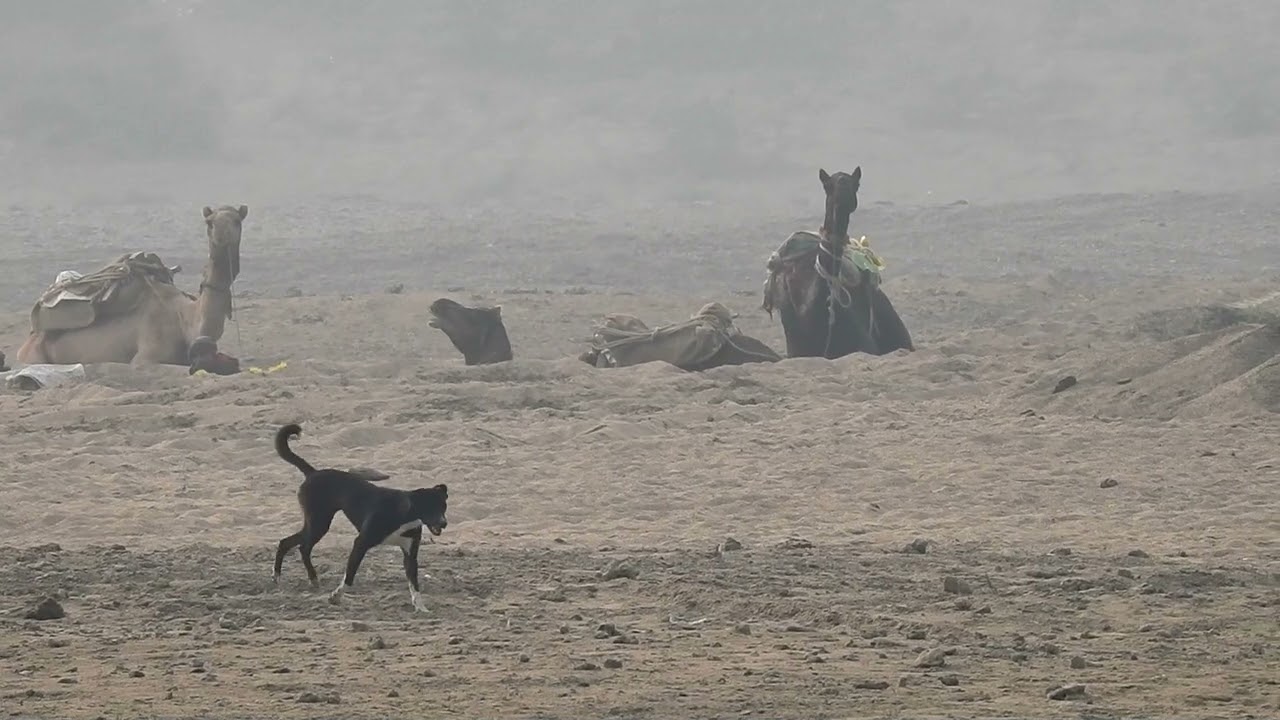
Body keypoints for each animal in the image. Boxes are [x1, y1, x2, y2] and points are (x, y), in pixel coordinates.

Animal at [15, 205, 248, 367]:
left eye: (237, 221)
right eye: (209, 222)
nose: (222, 234)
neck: (186, 320)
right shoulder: (146, 355)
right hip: (34, 356)